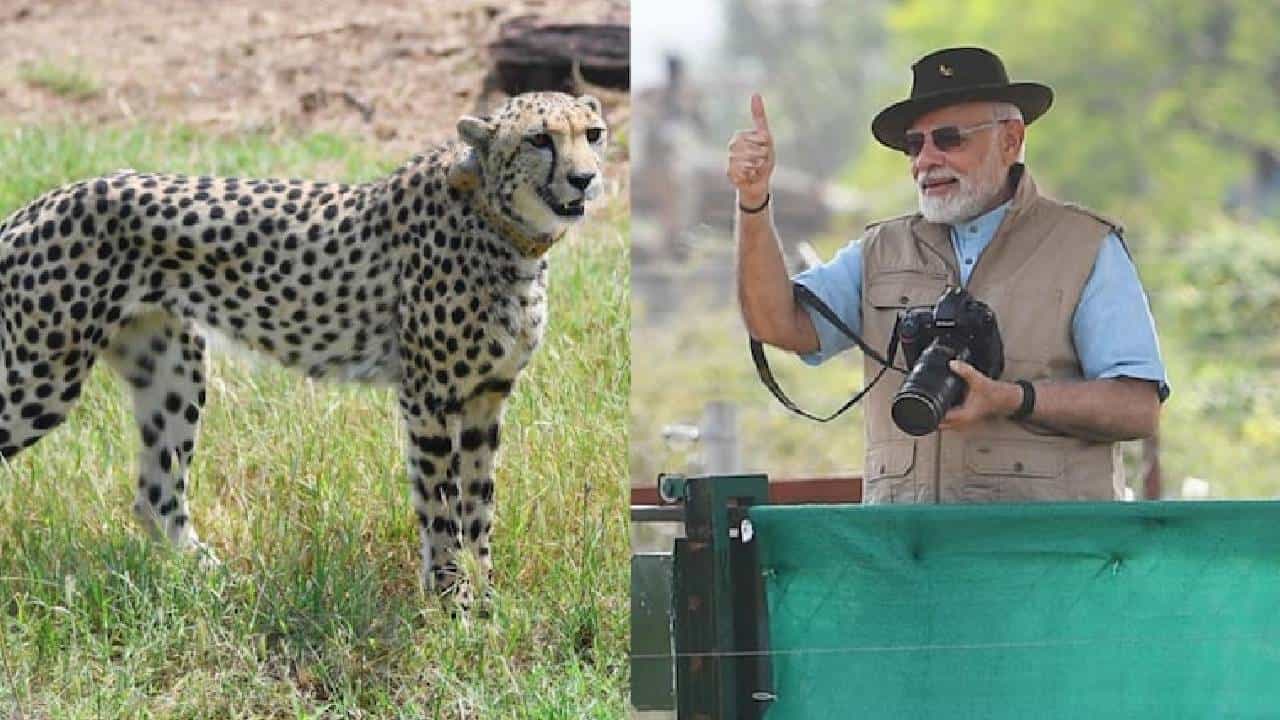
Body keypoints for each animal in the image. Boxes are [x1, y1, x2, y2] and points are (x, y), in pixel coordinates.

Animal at [0, 91, 608, 602]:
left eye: (593, 134)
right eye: (539, 139)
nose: (584, 178)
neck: (503, 227)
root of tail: (41, 203)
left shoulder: (487, 396)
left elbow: (480, 505)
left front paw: (487, 599)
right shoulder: (429, 398)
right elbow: (441, 508)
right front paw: (452, 602)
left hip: (173, 367)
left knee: (156, 495)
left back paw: (211, 579)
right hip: (40, 377)